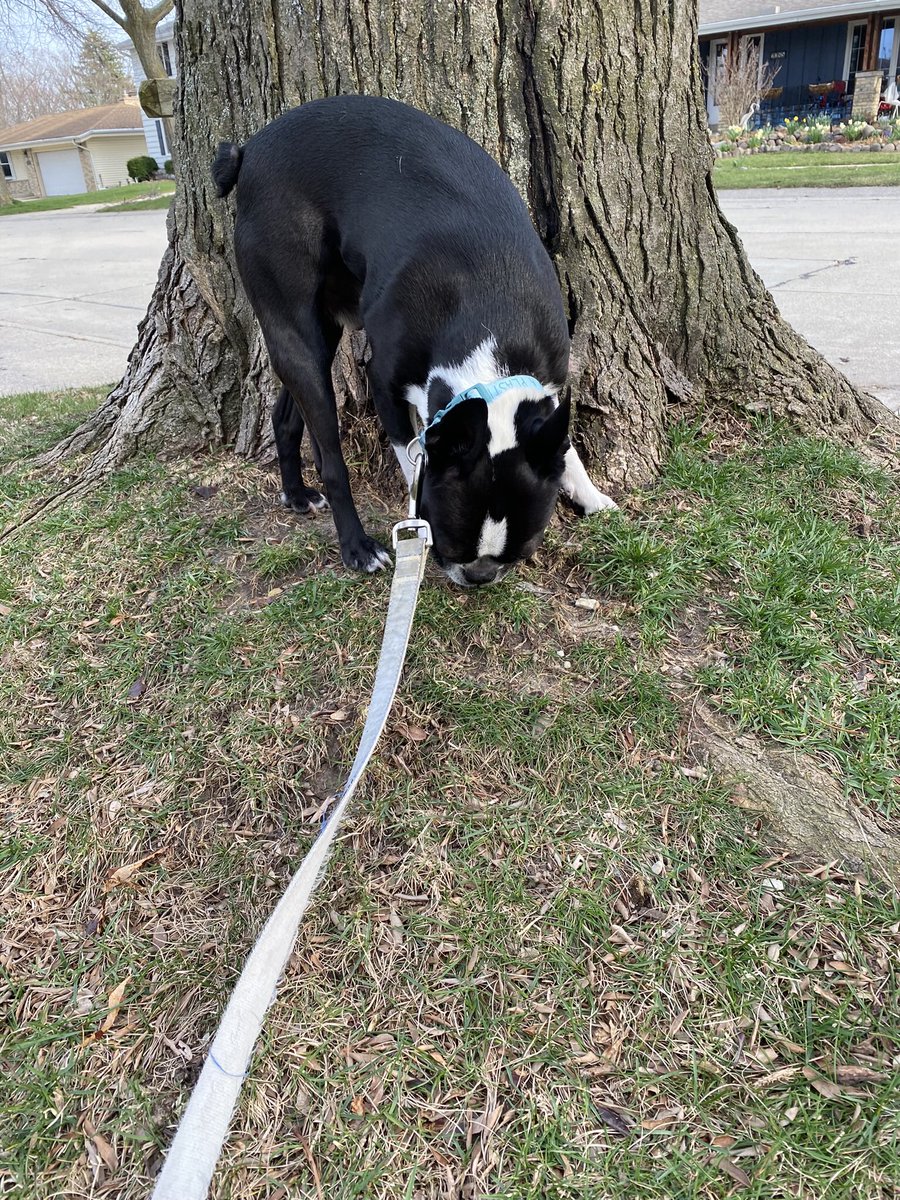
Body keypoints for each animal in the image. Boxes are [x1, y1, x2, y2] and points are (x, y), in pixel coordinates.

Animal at [214, 94, 619, 585]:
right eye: (448, 543)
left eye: (523, 551)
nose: (479, 577)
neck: (490, 325)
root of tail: (249, 151)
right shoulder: (384, 384)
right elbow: (412, 461)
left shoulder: (549, 384)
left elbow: (564, 447)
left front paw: (591, 494)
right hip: (295, 327)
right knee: (330, 455)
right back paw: (356, 546)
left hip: (321, 331)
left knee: (287, 414)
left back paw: (295, 494)